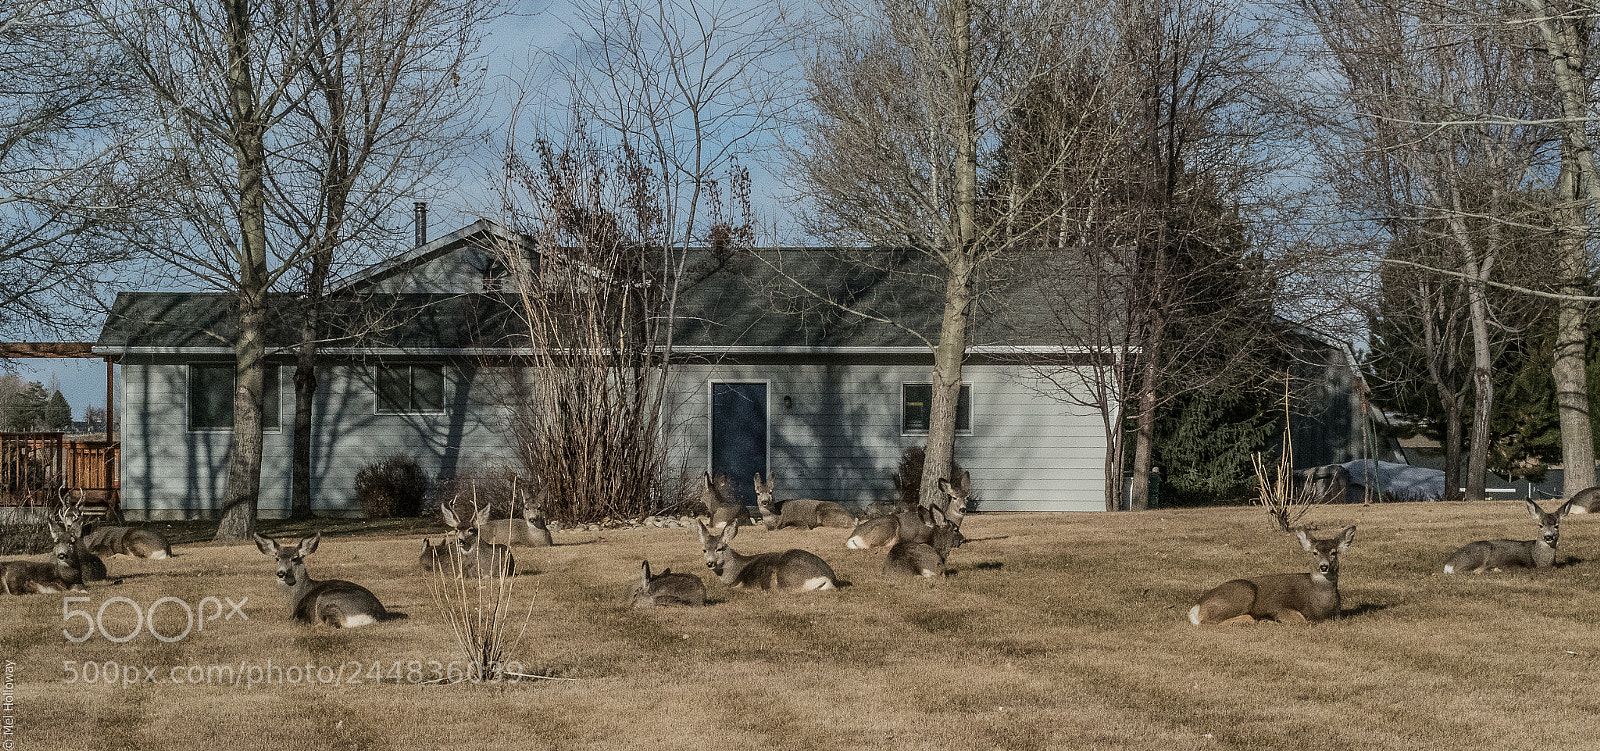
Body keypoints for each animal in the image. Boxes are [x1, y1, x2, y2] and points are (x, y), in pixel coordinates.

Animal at [1188, 526, 1356, 626]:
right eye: (1314, 552)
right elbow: (1301, 620)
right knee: (1207, 622)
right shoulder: (1276, 604)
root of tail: (1196, 607)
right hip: (1245, 592)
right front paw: (1270, 620)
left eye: (1334, 552)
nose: (1324, 566)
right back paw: (1253, 619)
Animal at [1443, 500, 1573, 573]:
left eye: (1556, 526)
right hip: (1474, 557)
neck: (1540, 561)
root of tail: (1449, 564)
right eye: (1540, 525)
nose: (1548, 537)